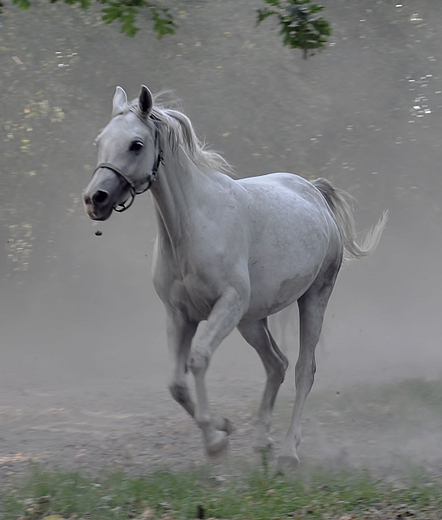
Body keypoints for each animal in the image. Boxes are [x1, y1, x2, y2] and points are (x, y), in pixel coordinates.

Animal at [83, 85, 386, 468]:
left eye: (136, 144)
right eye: (100, 141)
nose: (95, 199)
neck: (193, 227)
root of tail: (314, 192)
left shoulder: (226, 305)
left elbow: (198, 359)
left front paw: (215, 442)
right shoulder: (179, 315)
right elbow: (176, 384)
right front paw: (222, 427)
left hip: (313, 297)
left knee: (303, 369)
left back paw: (288, 451)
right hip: (252, 320)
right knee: (276, 365)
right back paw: (261, 441)